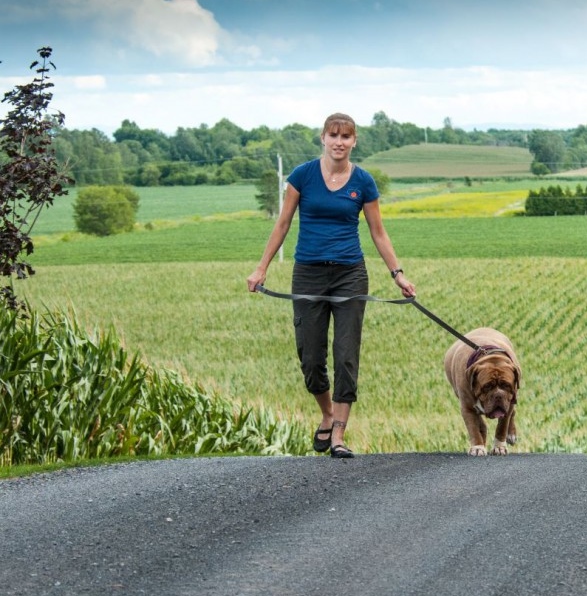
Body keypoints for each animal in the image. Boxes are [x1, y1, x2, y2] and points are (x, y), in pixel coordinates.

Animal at [444, 326, 520, 456]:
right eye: (487, 386)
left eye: (506, 385)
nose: (498, 395)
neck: (490, 357)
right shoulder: (467, 408)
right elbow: (473, 429)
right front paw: (478, 447)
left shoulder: (508, 404)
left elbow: (501, 427)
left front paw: (499, 447)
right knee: (480, 424)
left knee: (511, 414)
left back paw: (511, 434)